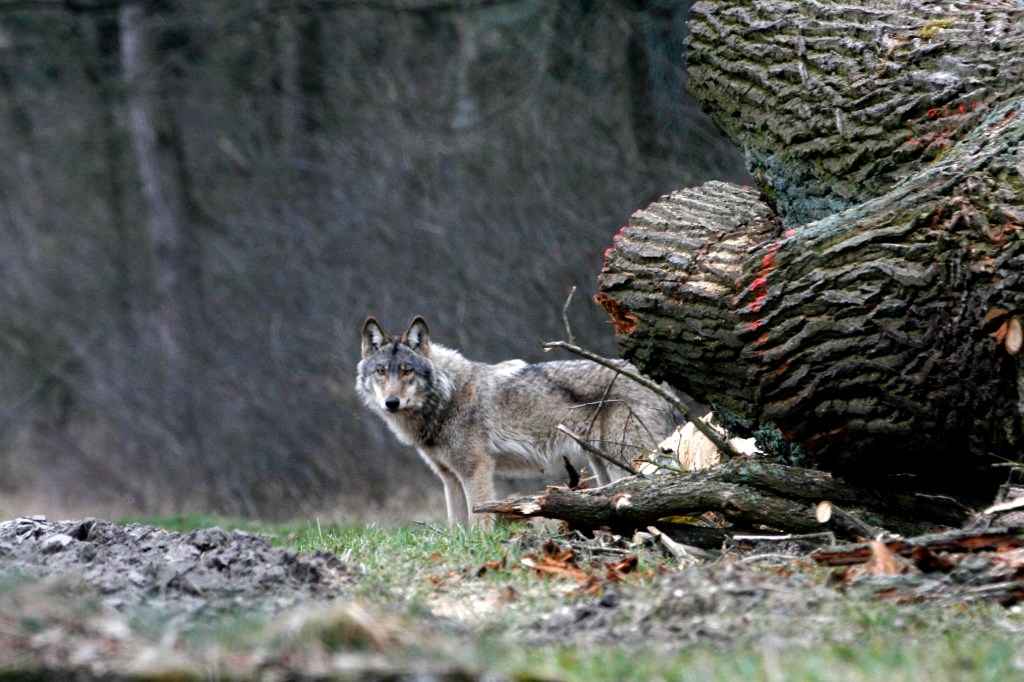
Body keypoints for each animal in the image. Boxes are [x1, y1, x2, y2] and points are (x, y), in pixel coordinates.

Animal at [356, 316, 683, 527]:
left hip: (625, 463)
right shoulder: (450, 479)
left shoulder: (476, 472)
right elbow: (456, 527)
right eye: (381, 372)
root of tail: (667, 389)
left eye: (407, 371)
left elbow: (480, 522)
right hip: (603, 468)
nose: (391, 402)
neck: (447, 396)